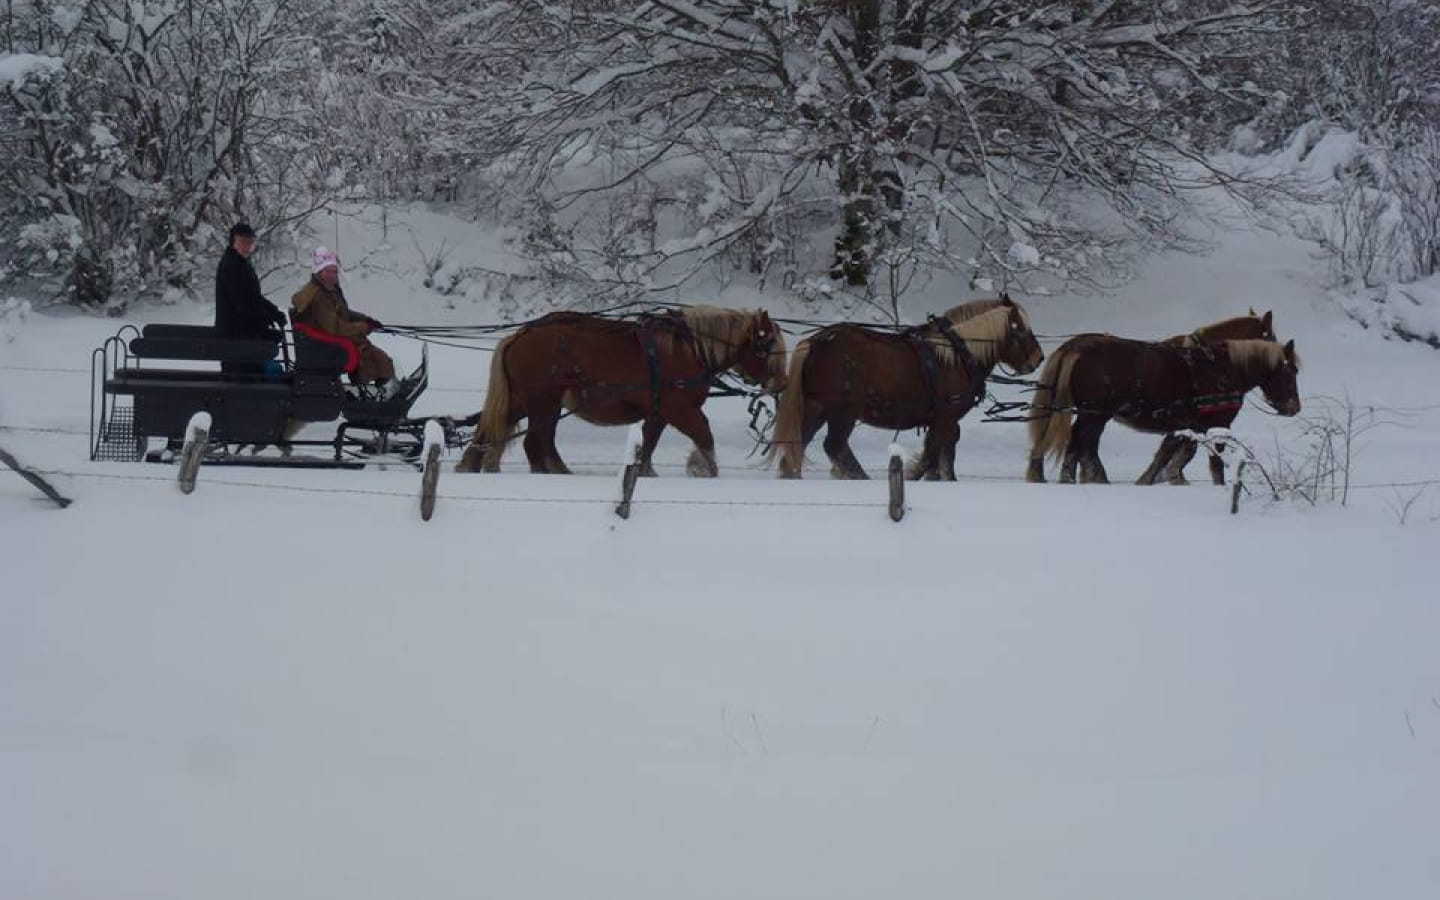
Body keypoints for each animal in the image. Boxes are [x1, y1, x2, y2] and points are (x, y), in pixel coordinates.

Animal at [457, 306, 789, 478]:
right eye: (767, 346)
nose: (782, 384)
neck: (689, 348)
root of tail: (521, 334)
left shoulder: (658, 412)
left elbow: (650, 442)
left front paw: (646, 471)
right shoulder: (680, 409)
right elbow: (704, 435)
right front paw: (705, 468)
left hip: (527, 401)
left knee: (494, 428)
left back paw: (471, 464)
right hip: (543, 400)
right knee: (534, 442)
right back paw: (545, 472)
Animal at [766, 295, 1048, 478]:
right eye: (1021, 329)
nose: (1038, 358)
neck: (957, 355)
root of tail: (818, 341)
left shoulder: (944, 422)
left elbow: (942, 459)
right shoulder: (944, 418)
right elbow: (930, 457)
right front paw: (912, 475)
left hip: (816, 407)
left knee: (798, 444)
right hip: (842, 411)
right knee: (835, 445)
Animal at [1025, 334, 1307, 483]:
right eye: (1290, 372)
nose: (1294, 408)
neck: (1223, 370)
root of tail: (1076, 346)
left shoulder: (1187, 426)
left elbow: (1170, 455)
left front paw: (1154, 480)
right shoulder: (1217, 426)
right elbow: (1213, 462)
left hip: (1092, 414)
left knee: (1080, 445)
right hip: (1094, 414)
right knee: (1082, 444)